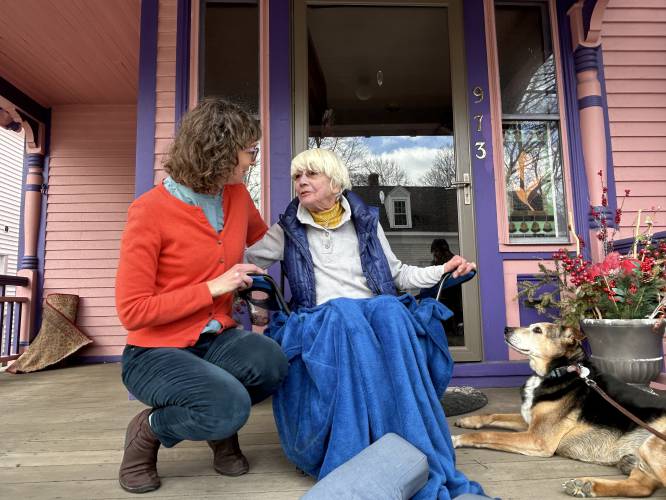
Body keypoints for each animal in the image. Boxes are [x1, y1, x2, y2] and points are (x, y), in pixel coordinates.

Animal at [452, 324, 664, 496]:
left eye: (537, 330)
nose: (506, 329)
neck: (560, 369)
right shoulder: (530, 421)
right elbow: (494, 414)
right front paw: (469, 420)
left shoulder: (537, 438)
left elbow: (488, 435)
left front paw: (456, 439)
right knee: (641, 487)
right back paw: (586, 485)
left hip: (651, 446)